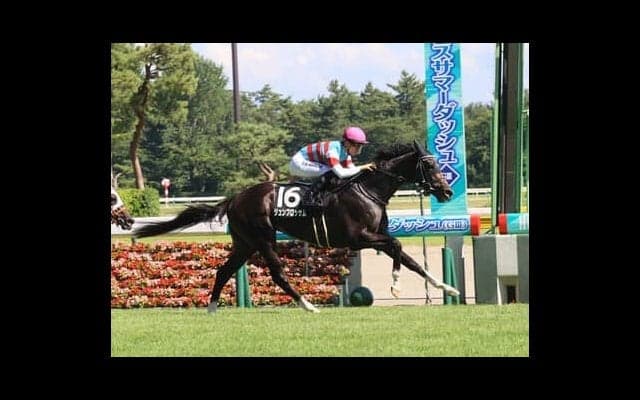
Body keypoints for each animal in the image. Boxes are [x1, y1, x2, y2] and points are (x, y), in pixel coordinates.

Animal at [134, 140, 458, 313]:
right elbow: (398, 246)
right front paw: (395, 284)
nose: (447, 192)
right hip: (263, 238)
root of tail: (236, 197)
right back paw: (308, 305)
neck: (369, 191)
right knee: (278, 274)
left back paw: (212, 308)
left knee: (224, 270)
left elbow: (409, 258)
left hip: (244, 243)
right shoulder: (359, 238)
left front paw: (447, 287)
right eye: (429, 165)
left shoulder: (376, 235)